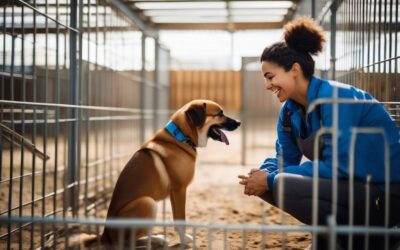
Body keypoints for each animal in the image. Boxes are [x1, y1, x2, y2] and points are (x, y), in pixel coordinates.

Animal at [81, 99, 238, 248]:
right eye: (220, 113)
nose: (239, 122)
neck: (181, 136)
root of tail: (105, 235)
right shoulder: (179, 190)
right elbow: (180, 219)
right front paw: (183, 240)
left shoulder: (174, 194)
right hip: (147, 202)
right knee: (125, 242)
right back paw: (155, 240)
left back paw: (158, 239)